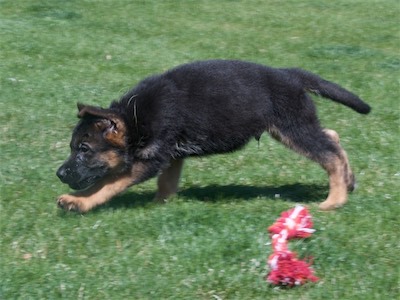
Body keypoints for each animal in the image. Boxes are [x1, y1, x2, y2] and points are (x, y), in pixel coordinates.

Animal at [57, 59, 372, 212]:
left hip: (292, 127)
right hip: (290, 128)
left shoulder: (150, 160)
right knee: (332, 137)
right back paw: (349, 180)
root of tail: (290, 75)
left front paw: (77, 201)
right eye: (73, 147)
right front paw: (160, 205)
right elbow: (166, 184)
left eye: (84, 149)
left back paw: (335, 200)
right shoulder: (172, 155)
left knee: (330, 153)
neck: (135, 118)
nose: (59, 174)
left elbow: (107, 183)